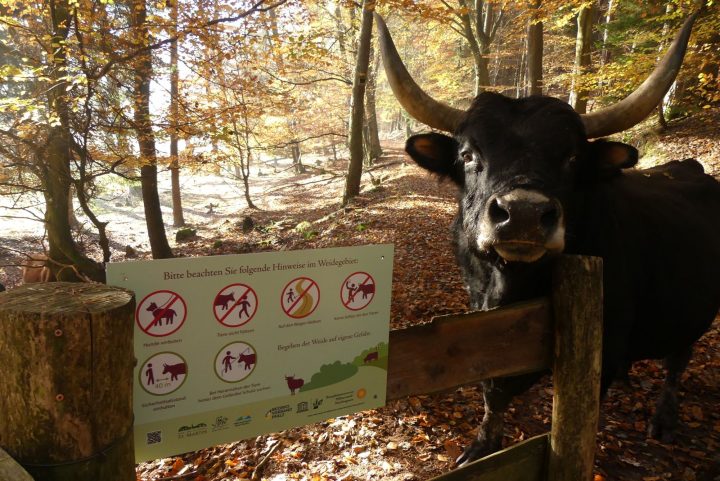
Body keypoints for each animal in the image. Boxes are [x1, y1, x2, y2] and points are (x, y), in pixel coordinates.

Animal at [374, 10, 720, 464]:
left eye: (572, 156)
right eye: (468, 155)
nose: (522, 214)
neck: (512, 288)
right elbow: (492, 392)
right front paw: (483, 443)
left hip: (696, 313)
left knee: (678, 359)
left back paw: (664, 418)